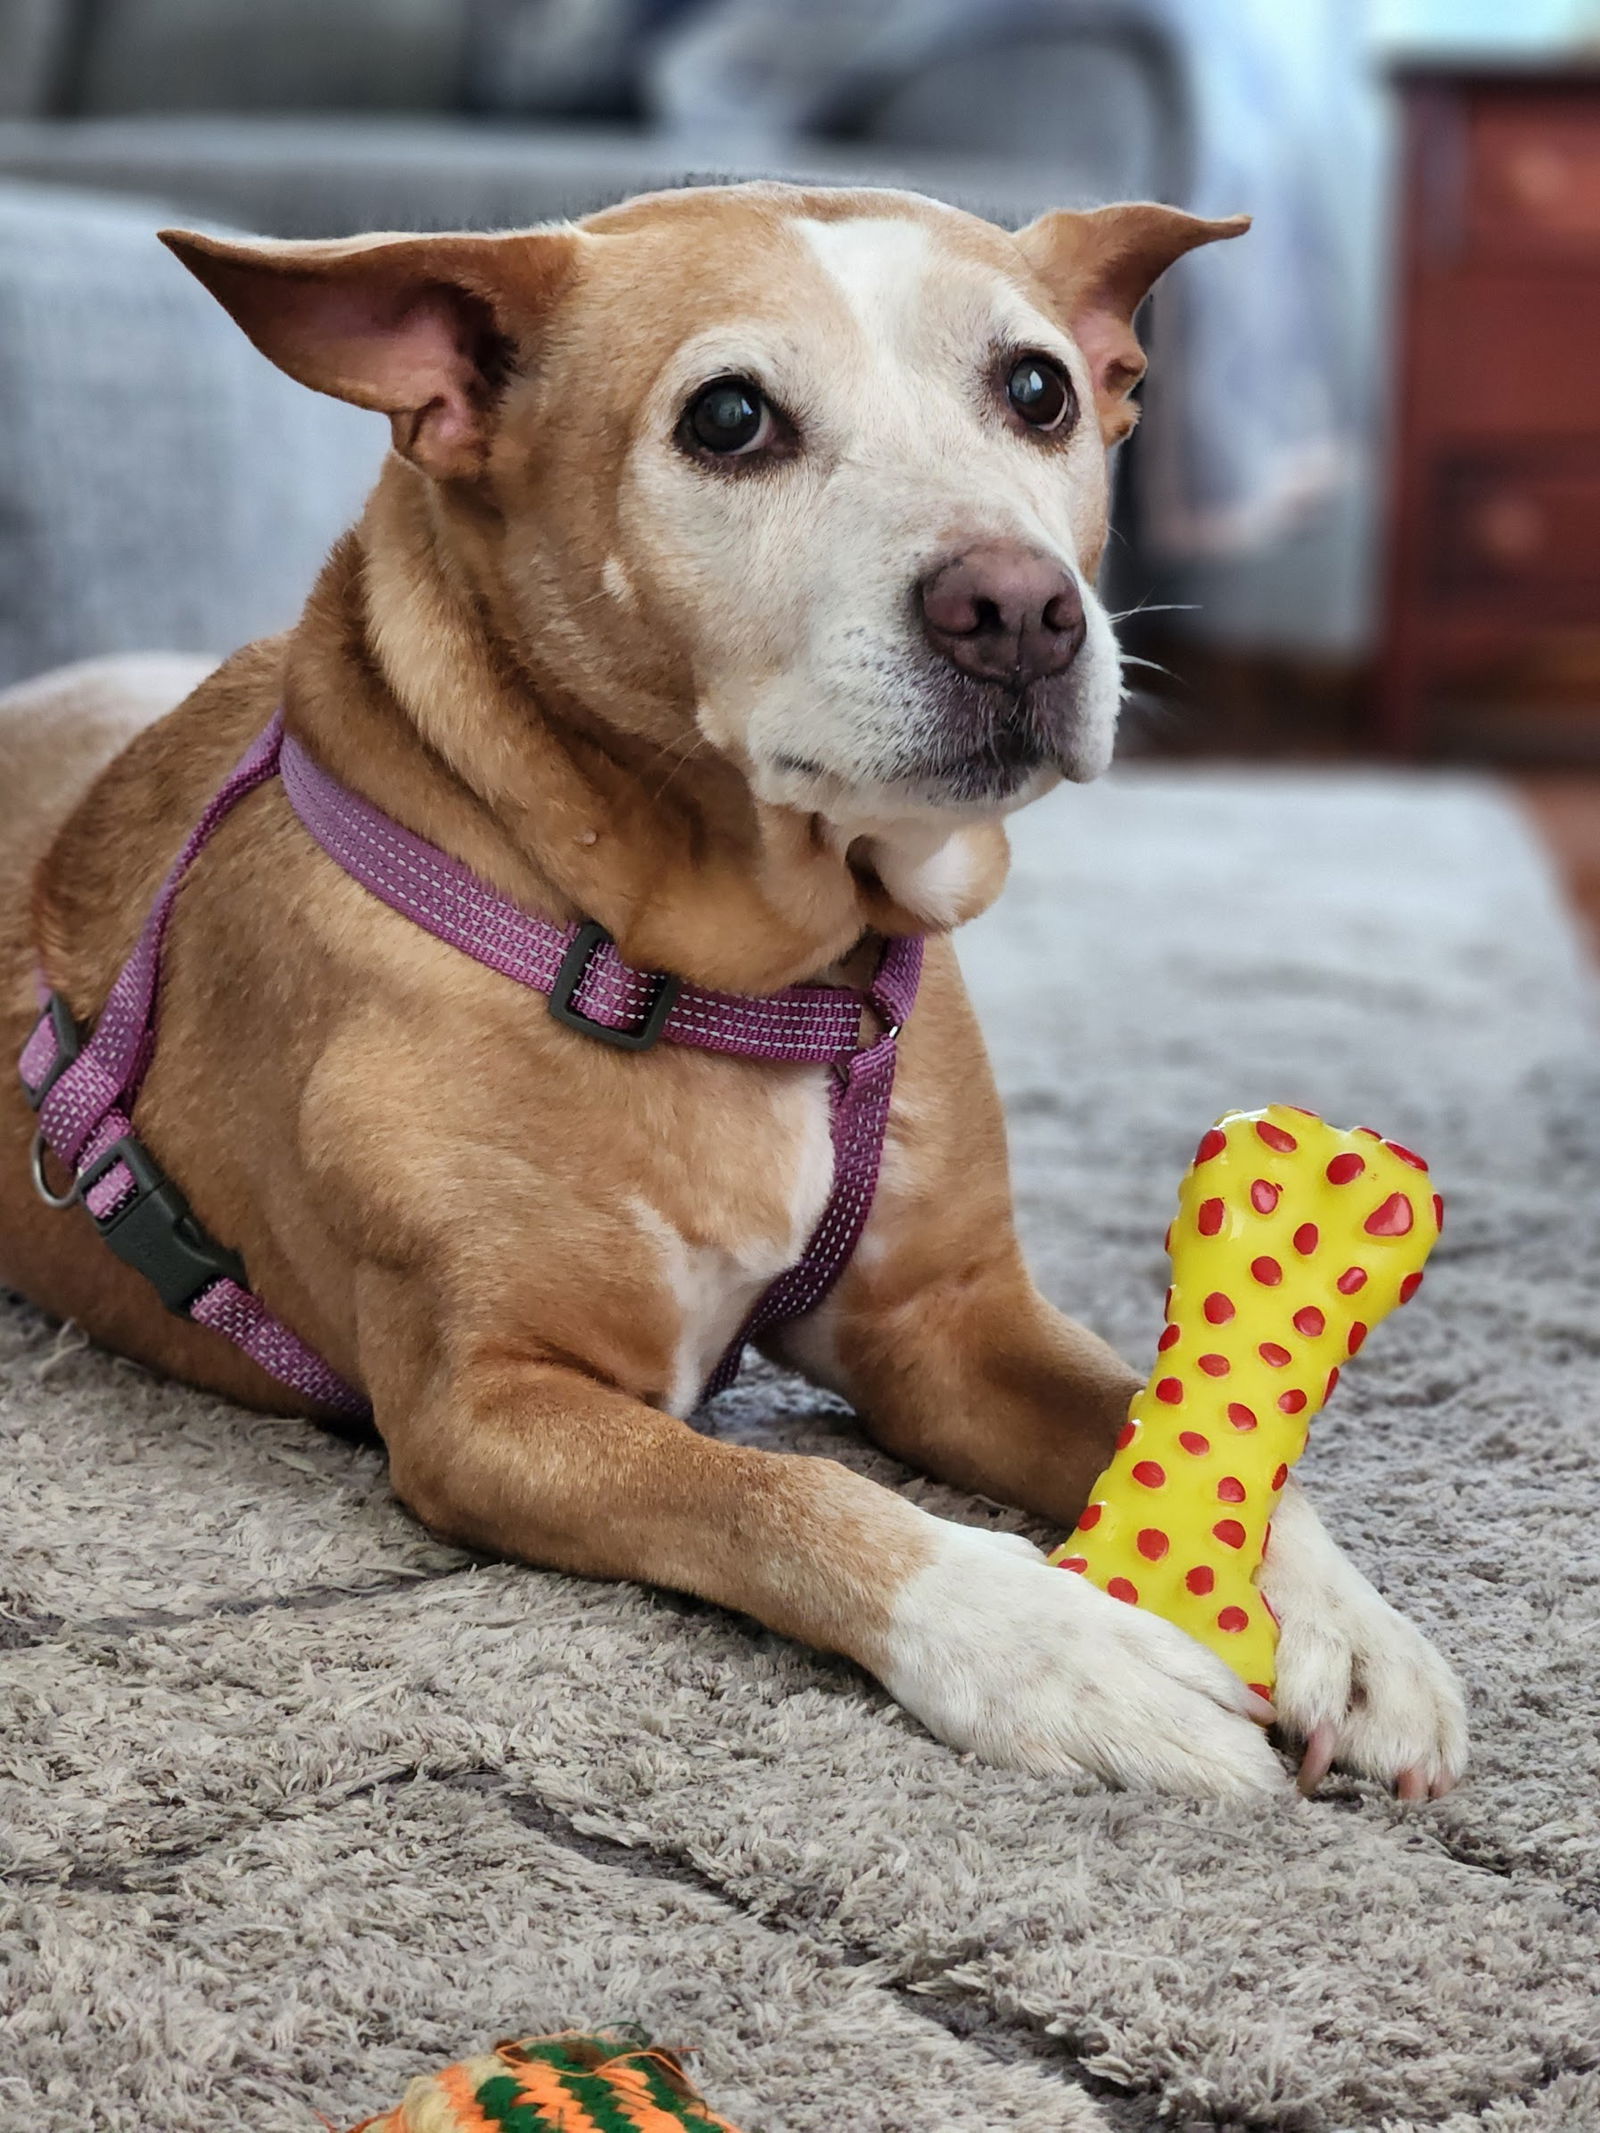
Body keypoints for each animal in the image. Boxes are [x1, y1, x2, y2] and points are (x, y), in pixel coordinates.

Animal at [0, 183, 1467, 1791]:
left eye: (1038, 391)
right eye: (728, 418)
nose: (1021, 608)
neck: (735, 973)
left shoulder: (947, 1326)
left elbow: (1165, 1417)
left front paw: (1340, 1617)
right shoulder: (486, 1410)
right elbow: (782, 1498)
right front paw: (1043, 1644)